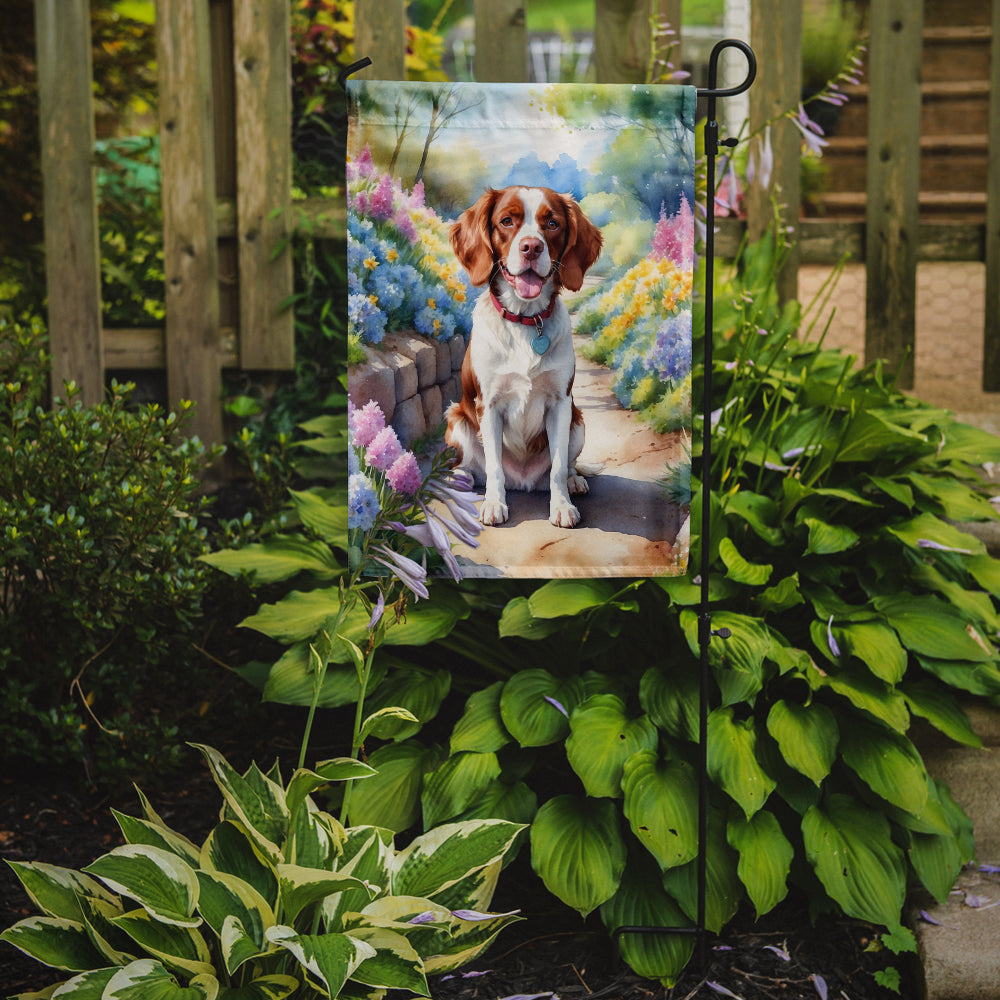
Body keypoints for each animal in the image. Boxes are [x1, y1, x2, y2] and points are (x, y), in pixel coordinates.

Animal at [446, 189, 600, 532]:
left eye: (552, 223)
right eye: (506, 221)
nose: (531, 247)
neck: (527, 321)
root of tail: (523, 481)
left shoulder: (561, 403)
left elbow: (558, 467)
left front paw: (562, 507)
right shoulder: (488, 405)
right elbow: (494, 467)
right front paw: (494, 504)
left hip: (579, 422)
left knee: (566, 466)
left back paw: (574, 482)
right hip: (456, 419)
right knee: (472, 466)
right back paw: (459, 479)